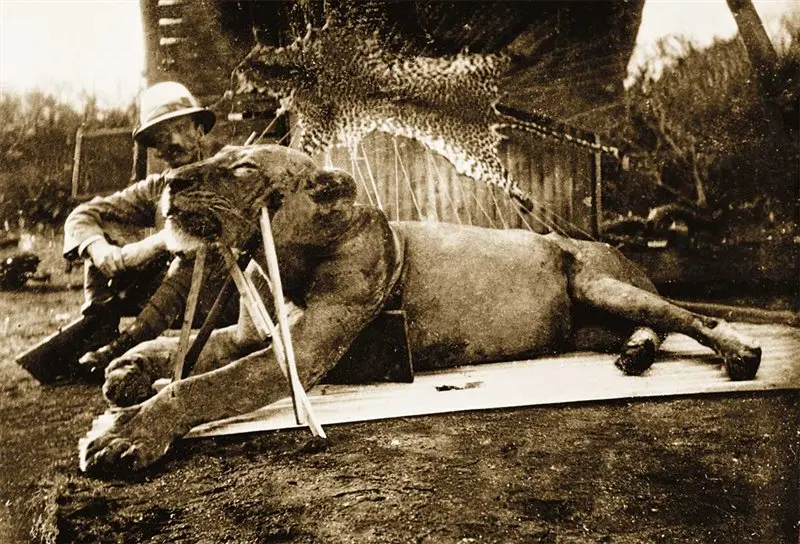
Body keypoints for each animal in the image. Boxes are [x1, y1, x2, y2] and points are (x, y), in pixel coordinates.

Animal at [79, 144, 762, 477]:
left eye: (243, 168)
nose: (169, 182)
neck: (289, 259)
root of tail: (614, 246)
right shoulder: (253, 332)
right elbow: (186, 350)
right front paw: (127, 369)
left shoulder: (306, 348)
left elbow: (203, 385)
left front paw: (124, 433)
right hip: (590, 322)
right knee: (654, 327)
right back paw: (634, 354)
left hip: (599, 284)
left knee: (690, 319)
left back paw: (739, 352)